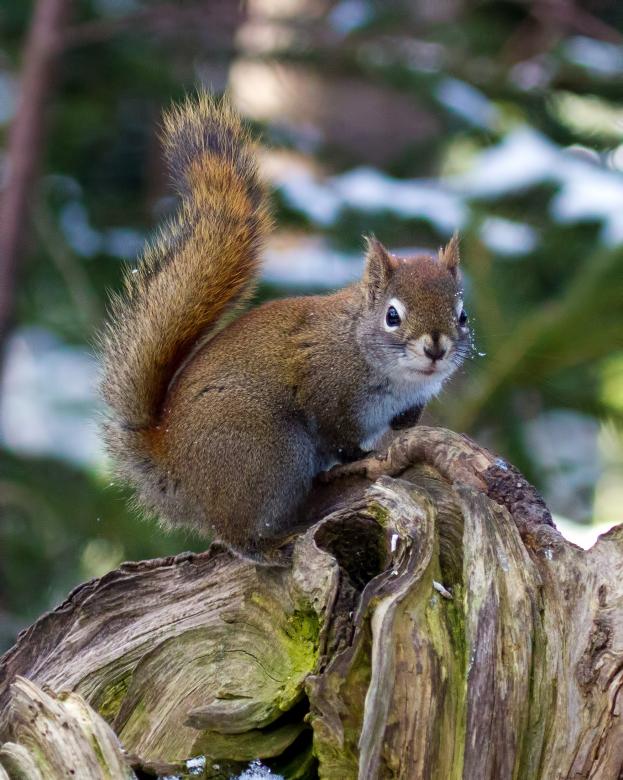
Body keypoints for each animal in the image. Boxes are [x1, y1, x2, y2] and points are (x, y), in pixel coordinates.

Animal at [100, 93, 471, 561]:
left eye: (462, 315)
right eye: (392, 316)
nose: (436, 348)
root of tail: (172, 462)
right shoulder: (326, 388)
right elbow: (339, 434)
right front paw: (358, 457)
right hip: (270, 452)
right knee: (236, 534)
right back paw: (271, 546)